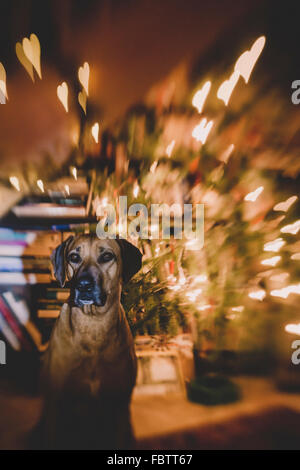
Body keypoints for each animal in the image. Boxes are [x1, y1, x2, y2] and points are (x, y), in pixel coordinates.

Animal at [41, 234, 143, 448]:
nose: (83, 285)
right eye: (73, 257)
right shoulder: (56, 403)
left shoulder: (120, 404)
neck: (93, 323)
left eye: (107, 256)